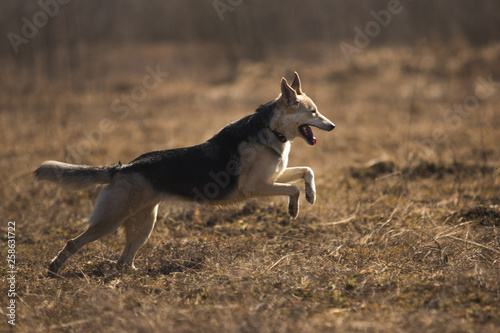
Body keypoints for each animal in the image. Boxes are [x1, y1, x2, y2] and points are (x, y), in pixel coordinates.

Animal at [35, 72, 336, 274]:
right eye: (313, 112)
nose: (333, 126)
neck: (272, 129)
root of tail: (123, 168)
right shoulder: (256, 186)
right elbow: (293, 188)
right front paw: (294, 209)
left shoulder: (272, 178)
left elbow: (306, 172)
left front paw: (311, 195)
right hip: (110, 221)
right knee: (74, 242)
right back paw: (53, 269)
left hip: (143, 225)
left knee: (123, 261)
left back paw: (132, 276)